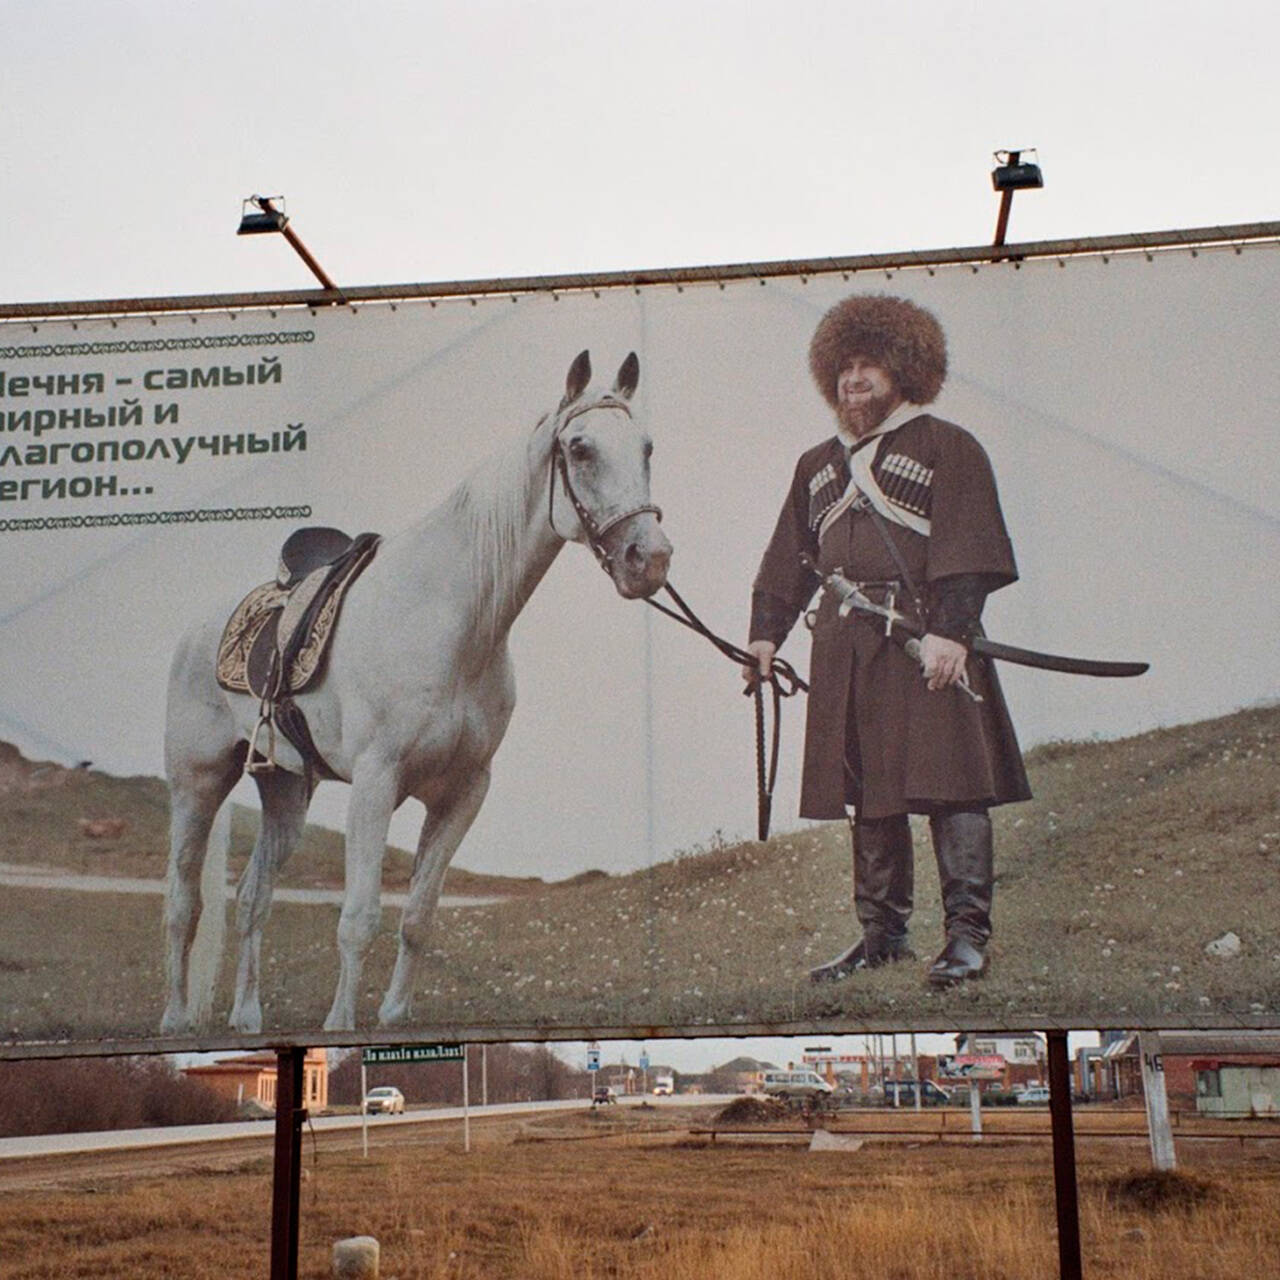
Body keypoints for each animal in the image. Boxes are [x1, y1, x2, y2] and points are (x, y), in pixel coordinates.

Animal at [160, 353, 670, 1039]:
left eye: (646, 447)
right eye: (580, 448)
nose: (650, 559)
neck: (451, 618)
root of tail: (199, 629)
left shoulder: (463, 792)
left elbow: (419, 916)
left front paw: (397, 1016)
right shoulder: (377, 783)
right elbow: (359, 918)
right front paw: (341, 1026)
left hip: (286, 791)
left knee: (252, 897)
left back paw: (247, 1016)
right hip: (198, 785)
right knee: (183, 902)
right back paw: (173, 1018)